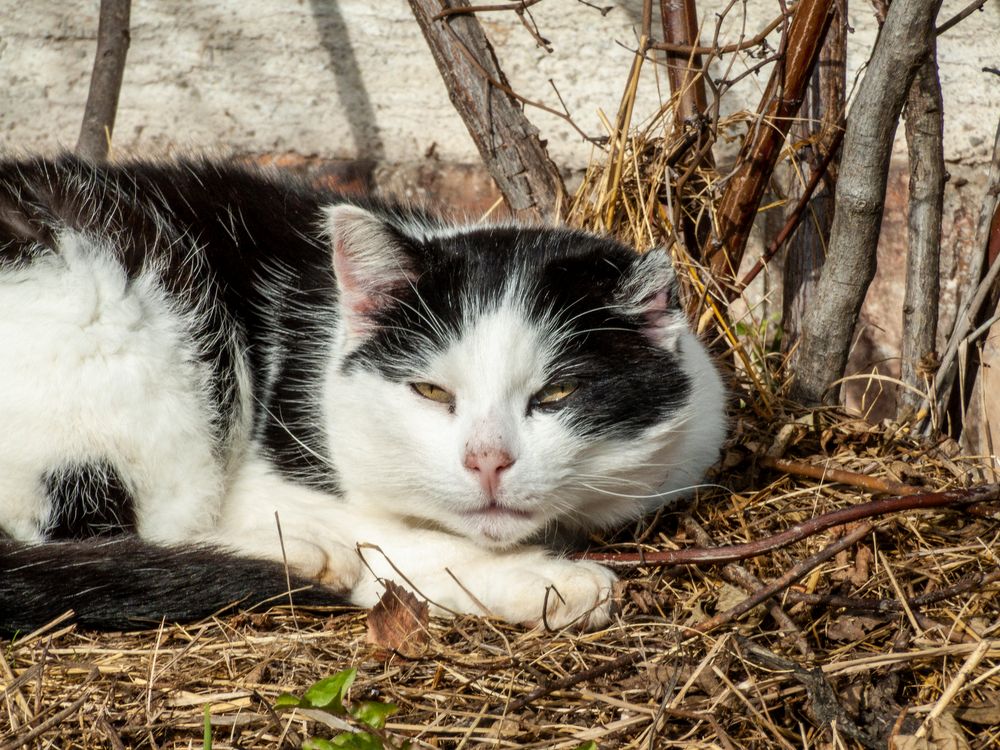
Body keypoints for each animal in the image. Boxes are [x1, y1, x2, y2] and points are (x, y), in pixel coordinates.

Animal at [0, 156, 720, 636]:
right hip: (133, 327)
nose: (487, 461)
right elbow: (396, 538)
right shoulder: (270, 479)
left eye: (559, 392)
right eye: (430, 391)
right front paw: (549, 580)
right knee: (118, 534)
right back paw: (300, 557)